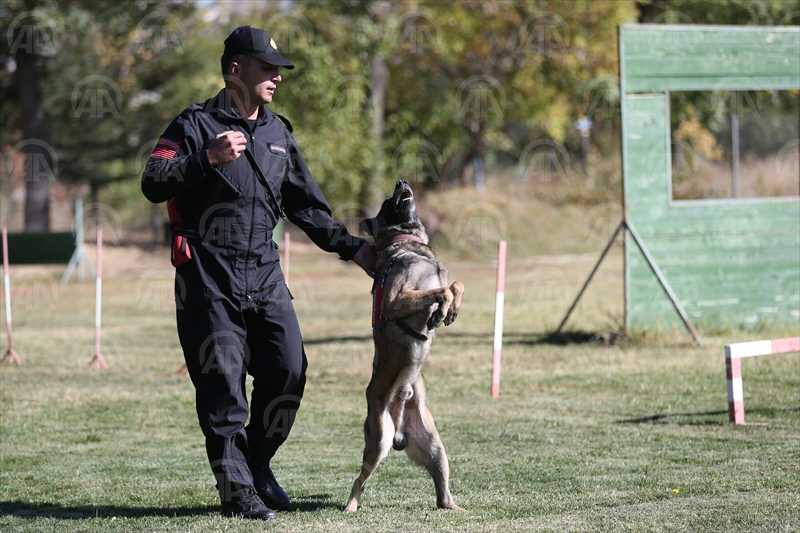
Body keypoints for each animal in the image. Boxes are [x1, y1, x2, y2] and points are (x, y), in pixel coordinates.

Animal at [342, 180, 466, 512]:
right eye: (388, 201)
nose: (402, 182)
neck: (409, 245)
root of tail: (399, 430)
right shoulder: (396, 300)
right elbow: (441, 291)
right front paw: (440, 312)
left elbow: (454, 285)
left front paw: (450, 310)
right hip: (379, 442)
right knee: (359, 479)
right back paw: (350, 507)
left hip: (436, 447)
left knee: (442, 492)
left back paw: (454, 507)